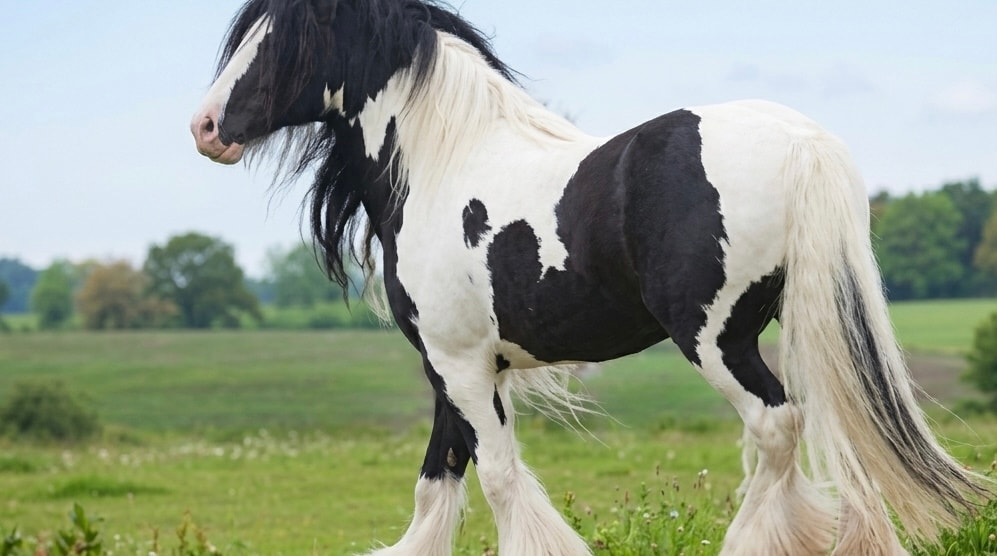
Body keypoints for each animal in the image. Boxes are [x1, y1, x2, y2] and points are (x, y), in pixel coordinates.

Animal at [190, 1, 988, 554]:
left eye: (280, 37)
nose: (205, 127)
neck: (443, 164)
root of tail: (801, 141)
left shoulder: (463, 366)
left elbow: (497, 477)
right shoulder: (452, 367)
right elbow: (435, 483)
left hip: (716, 338)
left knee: (775, 425)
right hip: (809, 317)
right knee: (837, 432)